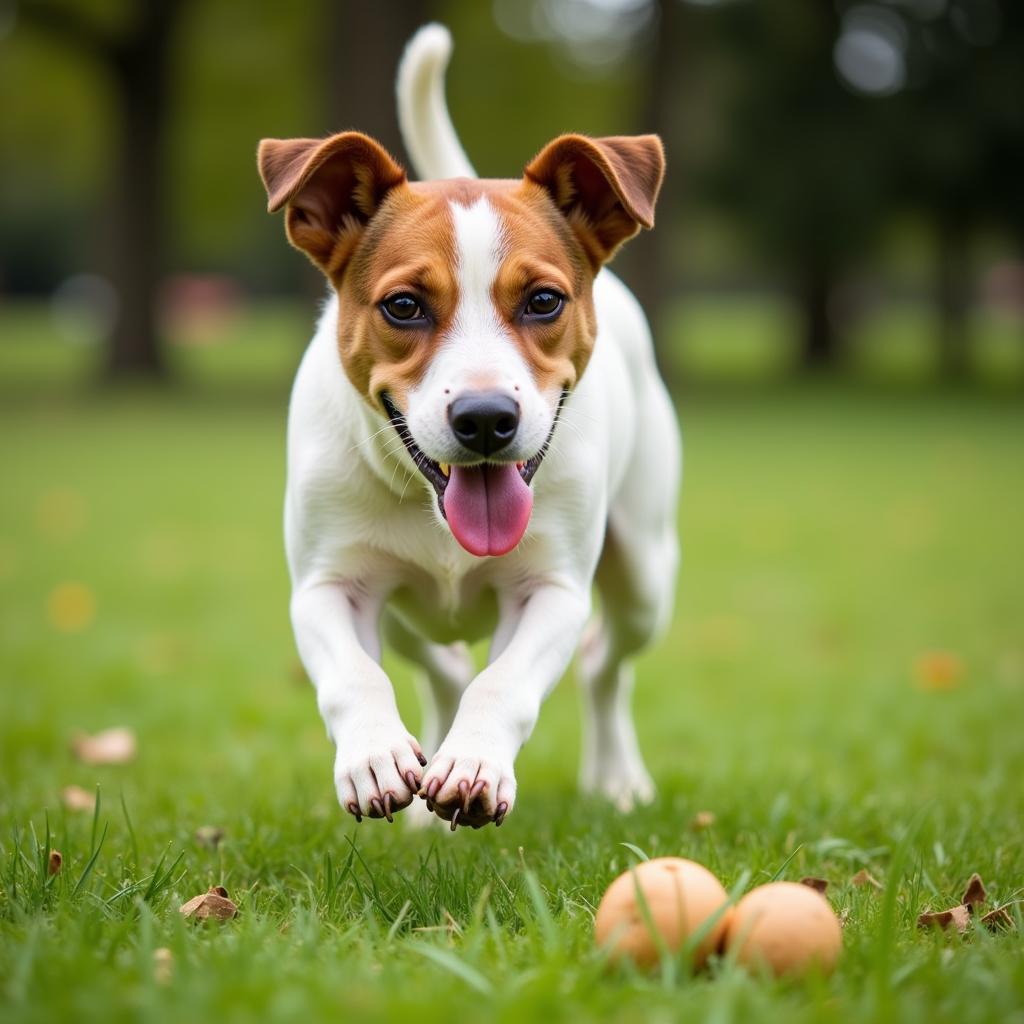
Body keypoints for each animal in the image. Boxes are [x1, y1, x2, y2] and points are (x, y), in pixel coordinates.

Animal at [260, 25, 679, 831]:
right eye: (404, 306)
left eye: (544, 300)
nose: (486, 419)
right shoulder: (328, 583)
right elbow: (353, 676)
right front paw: (375, 757)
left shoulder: (554, 588)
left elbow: (505, 682)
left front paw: (477, 762)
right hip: (402, 606)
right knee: (442, 663)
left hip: (645, 571)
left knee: (603, 664)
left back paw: (616, 779)